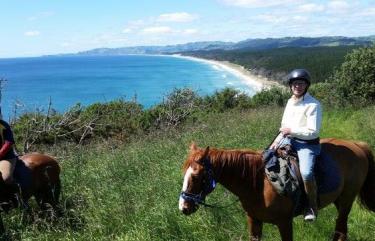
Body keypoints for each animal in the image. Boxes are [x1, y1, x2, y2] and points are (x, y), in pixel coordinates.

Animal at [180, 139, 375, 241]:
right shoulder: (254, 221)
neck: (258, 184)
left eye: (196, 177)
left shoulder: (284, 223)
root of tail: (357, 145)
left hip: (347, 199)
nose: (183, 207)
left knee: (341, 227)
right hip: (339, 199)